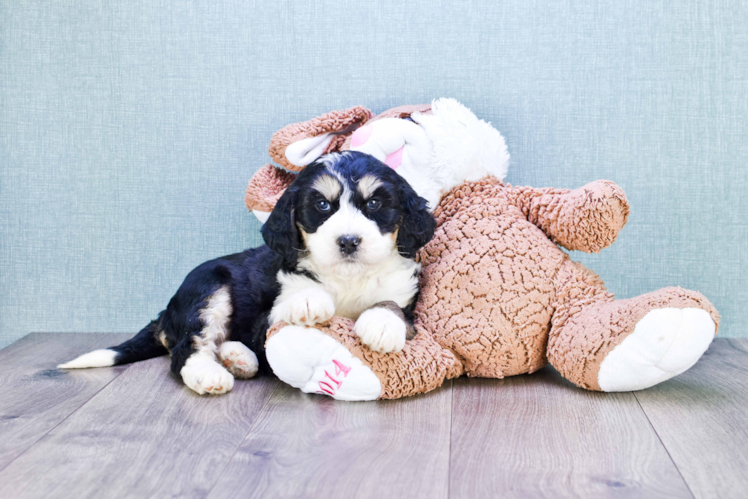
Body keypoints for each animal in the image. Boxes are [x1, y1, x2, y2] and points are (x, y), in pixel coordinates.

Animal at [60, 152, 438, 394]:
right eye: (321, 206)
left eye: (374, 203)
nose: (347, 241)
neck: (348, 278)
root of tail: (165, 314)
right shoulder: (262, 319)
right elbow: (283, 308)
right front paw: (308, 301)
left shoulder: (409, 305)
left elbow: (391, 306)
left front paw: (381, 324)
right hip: (208, 287)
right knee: (187, 349)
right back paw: (210, 375)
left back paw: (237, 357)